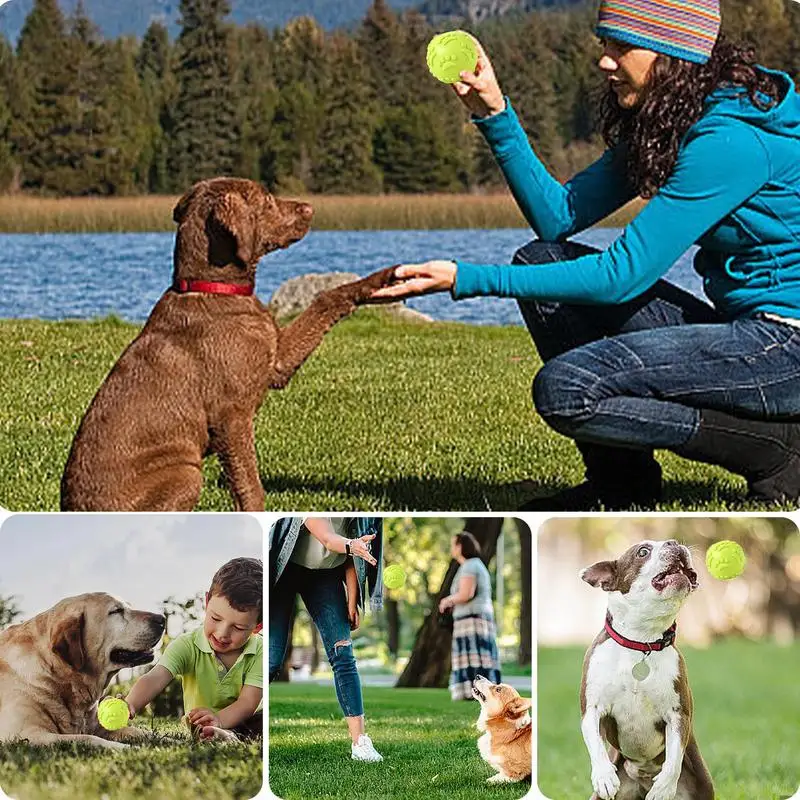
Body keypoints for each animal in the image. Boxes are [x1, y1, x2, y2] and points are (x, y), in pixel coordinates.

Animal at [580, 536, 716, 800]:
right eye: (643, 552)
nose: (674, 542)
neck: (642, 642)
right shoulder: (591, 709)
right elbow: (595, 744)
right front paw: (604, 776)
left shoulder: (678, 715)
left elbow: (673, 758)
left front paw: (663, 788)